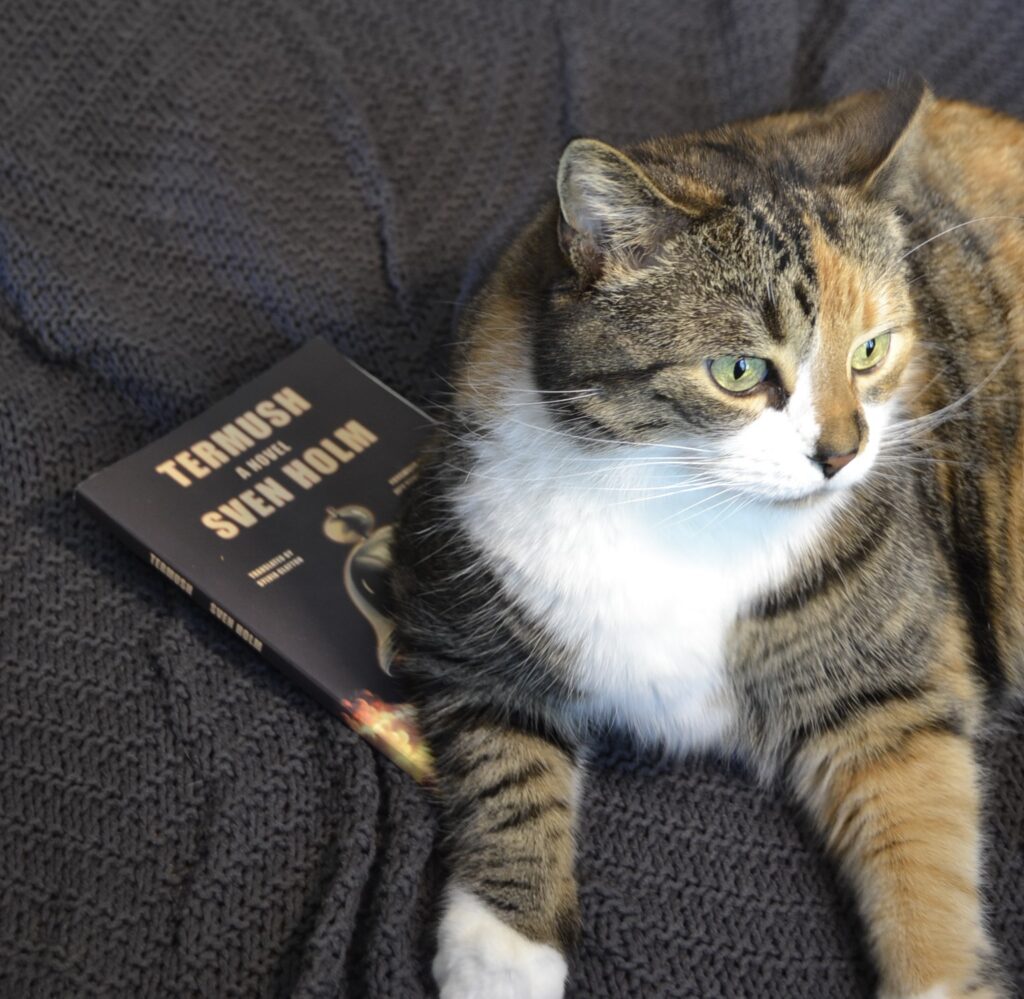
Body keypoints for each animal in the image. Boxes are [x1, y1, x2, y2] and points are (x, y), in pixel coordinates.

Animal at [385, 83, 1024, 998]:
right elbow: (507, 770)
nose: (842, 453)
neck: (680, 498)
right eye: (739, 371)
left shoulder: (887, 695)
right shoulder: (455, 605)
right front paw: (503, 955)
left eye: (872, 350)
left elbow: (923, 868)